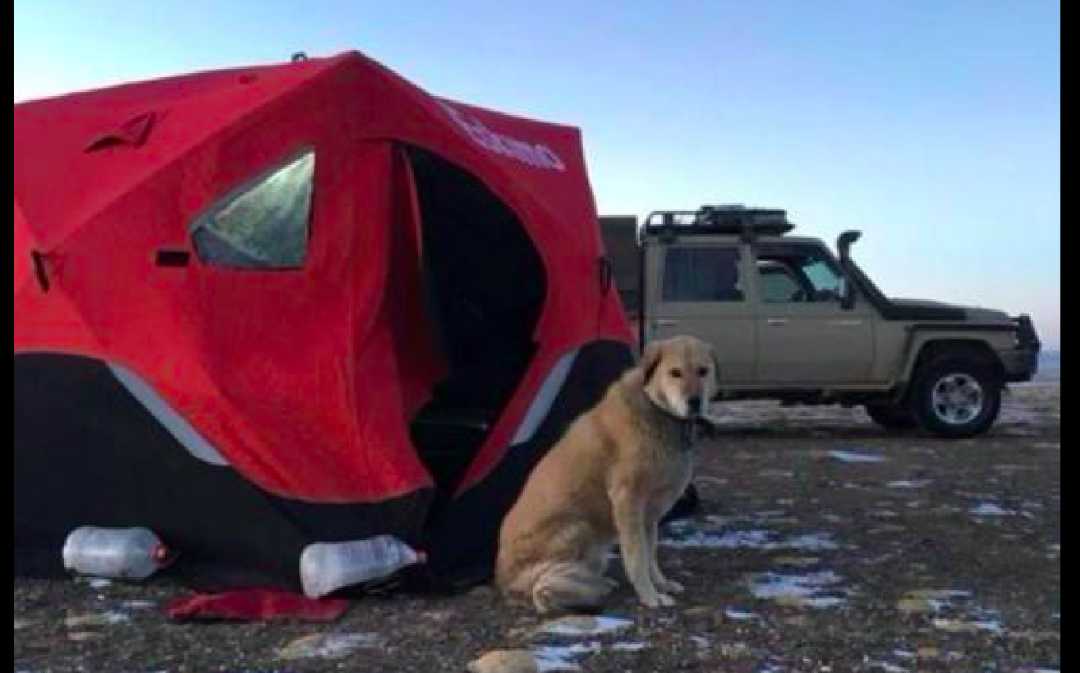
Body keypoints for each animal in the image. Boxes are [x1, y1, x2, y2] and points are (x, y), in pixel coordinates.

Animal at [494, 339, 717, 613]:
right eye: (675, 372)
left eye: (703, 371)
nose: (695, 401)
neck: (656, 411)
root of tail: (503, 582)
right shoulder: (627, 500)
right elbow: (637, 556)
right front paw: (649, 595)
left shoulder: (649, 513)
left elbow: (650, 552)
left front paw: (660, 584)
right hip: (579, 528)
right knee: (542, 589)